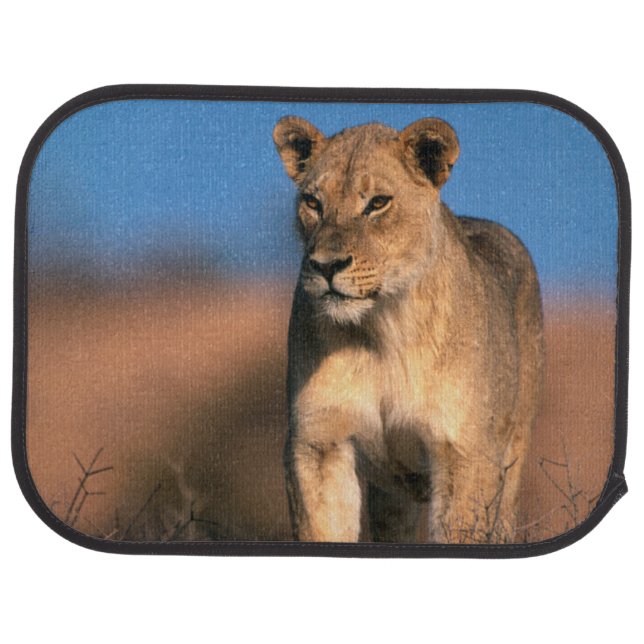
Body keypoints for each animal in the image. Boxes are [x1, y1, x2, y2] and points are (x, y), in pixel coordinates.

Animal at [273, 115, 544, 544]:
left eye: (377, 203)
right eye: (313, 203)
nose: (326, 266)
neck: (382, 330)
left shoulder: (466, 453)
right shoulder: (318, 443)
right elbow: (322, 528)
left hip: (512, 455)